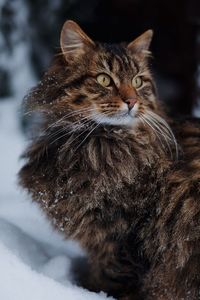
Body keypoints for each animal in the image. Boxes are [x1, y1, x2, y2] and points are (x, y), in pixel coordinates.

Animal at [18, 19, 200, 298]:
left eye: (137, 81)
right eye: (104, 79)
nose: (132, 101)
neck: (95, 143)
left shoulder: (121, 237)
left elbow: (110, 277)